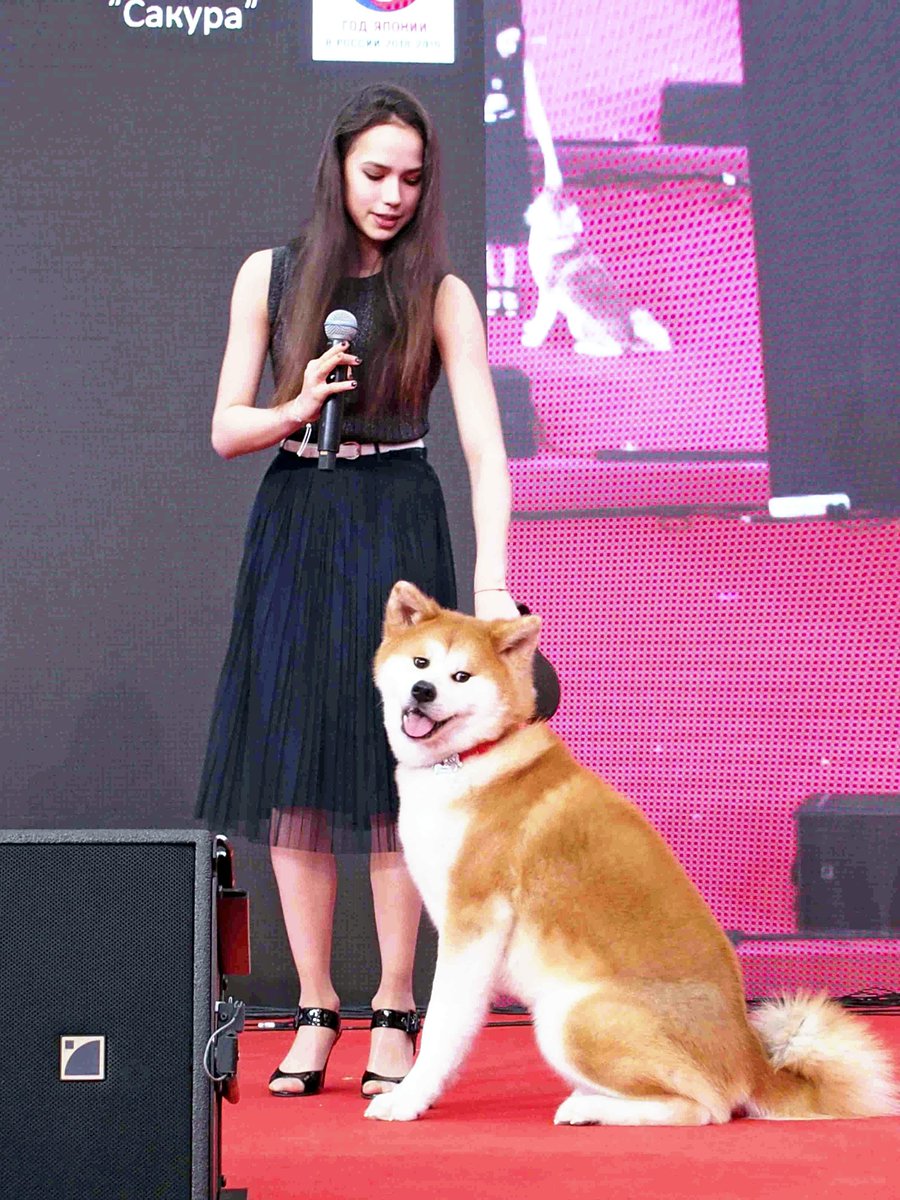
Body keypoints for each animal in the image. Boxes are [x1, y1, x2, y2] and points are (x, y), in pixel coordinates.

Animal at [365, 581, 898, 1125]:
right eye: (421, 663)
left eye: (461, 676)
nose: (423, 691)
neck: (470, 760)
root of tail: (752, 1060)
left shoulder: (472, 925)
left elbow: (444, 1027)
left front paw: (409, 1097)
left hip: (572, 1017)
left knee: (703, 1107)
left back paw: (589, 1108)